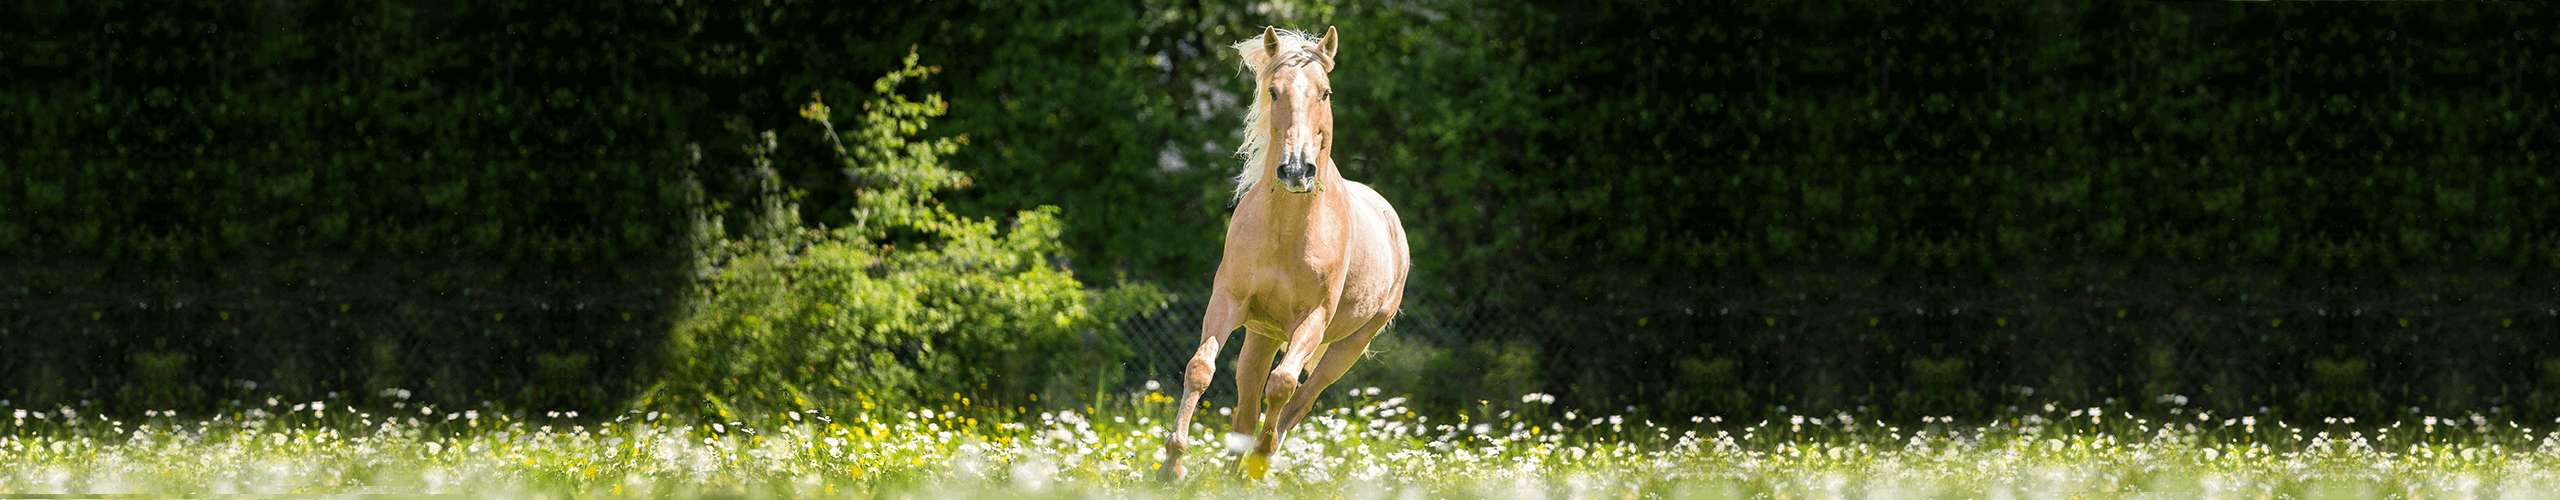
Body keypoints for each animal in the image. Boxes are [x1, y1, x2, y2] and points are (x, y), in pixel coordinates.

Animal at [1167, 26, 1423, 479]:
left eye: (1325, 92)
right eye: (1273, 90)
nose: (1296, 170)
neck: (1286, 231)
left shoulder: (1313, 319)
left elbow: (1284, 384)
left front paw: (1257, 460)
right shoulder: (1227, 302)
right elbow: (1200, 369)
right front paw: (1172, 465)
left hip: (1348, 346)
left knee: (1301, 397)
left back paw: (1259, 463)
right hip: (1261, 335)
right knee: (1247, 405)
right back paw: (1230, 471)